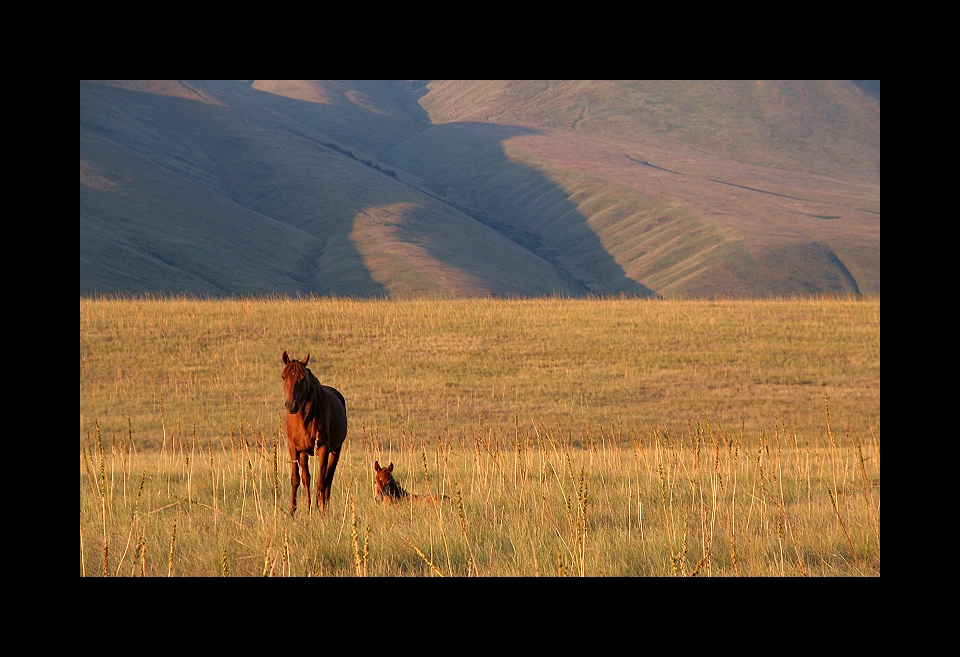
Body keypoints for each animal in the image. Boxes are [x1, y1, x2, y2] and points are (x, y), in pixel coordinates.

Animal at [282, 352, 348, 516]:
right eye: (283, 377)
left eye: (303, 378)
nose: (291, 405)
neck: (304, 418)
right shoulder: (293, 448)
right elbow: (296, 479)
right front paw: (292, 511)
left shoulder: (323, 448)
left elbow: (321, 482)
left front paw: (322, 510)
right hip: (304, 453)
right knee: (306, 478)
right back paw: (308, 507)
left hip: (335, 451)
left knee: (328, 479)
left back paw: (324, 506)